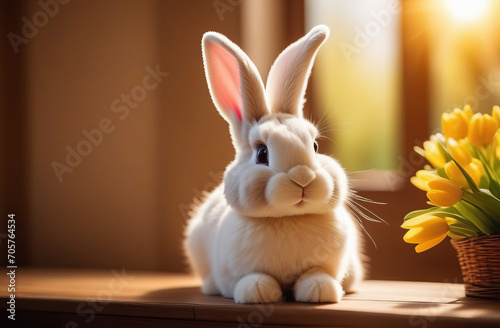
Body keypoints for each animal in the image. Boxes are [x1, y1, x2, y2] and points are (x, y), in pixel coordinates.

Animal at [184, 24, 364, 304]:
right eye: (262, 153)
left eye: (315, 146)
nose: (302, 177)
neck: (286, 218)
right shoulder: (236, 271)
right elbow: (252, 278)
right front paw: (258, 292)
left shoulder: (326, 264)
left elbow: (317, 274)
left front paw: (320, 291)